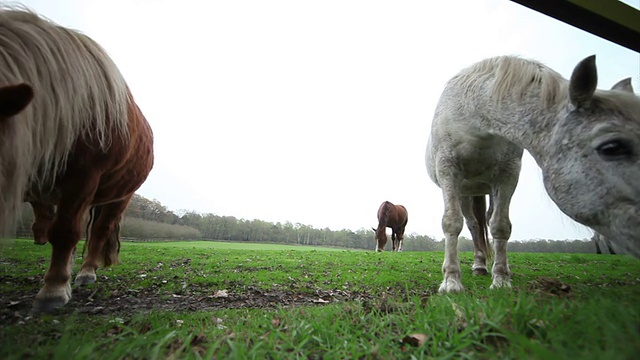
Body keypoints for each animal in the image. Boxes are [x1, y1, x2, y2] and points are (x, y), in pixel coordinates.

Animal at [0, 7, 154, 312]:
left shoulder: (82, 177)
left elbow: (66, 231)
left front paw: (54, 291)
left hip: (117, 196)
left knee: (98, 231)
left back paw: (85, 272)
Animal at [424, 55, 640, 292]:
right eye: (611, 147)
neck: (474, 117)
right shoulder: (448, 172)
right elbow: (452, 222)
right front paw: (451, 282)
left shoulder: (508, 175)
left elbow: (500, 225)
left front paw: (501, 279)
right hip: (465, 191)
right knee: (472, 224)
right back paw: (479, 265)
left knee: (487, 220)